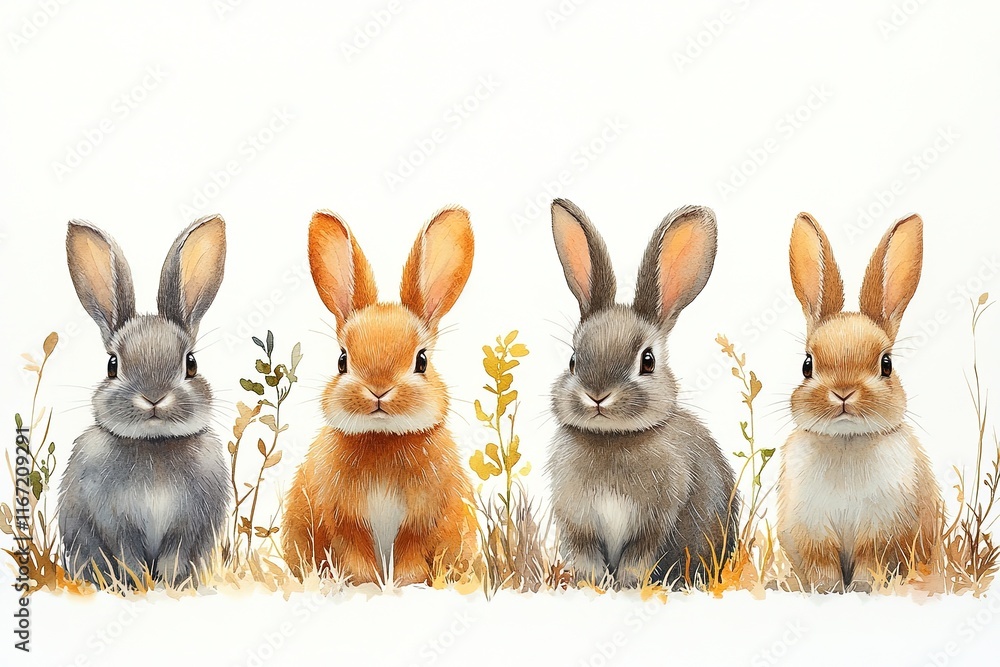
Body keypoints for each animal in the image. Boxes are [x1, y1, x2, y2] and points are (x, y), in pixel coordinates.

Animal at [58, 216, 230, 588]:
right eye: (112, 365)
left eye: (191, 363)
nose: (153, 397)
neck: (155, 443)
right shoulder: (116, 523)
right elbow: (129, 556)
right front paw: (139, 586)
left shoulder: (188, 526)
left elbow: (174, 556)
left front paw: (168, 586)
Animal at [283, 208, 478, 585]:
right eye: (342, 360)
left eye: (421, 361)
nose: (378, 389)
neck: (383, 437)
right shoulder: (344, 518)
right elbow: (356, 551)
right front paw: (364, 584)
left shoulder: (422, 518)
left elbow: (410, 551)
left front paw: (405, 584)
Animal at [546, 199, 738, 588]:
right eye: (573, 360)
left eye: (647, 361)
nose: (597, 396)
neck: (612, 438)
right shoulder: (579, 524)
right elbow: (586, 556)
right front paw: (593, 585)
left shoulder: (654, 524)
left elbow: (639, 557)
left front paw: (627, 586)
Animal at [777, 212, 941, 592]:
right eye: (807, 365)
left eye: (887, 364)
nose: (843, 392)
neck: (847, 440)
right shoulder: (812, 531)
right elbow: (822, 565)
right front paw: (827, 591)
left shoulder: (883, 531)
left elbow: (872, 561)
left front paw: (862, 590)